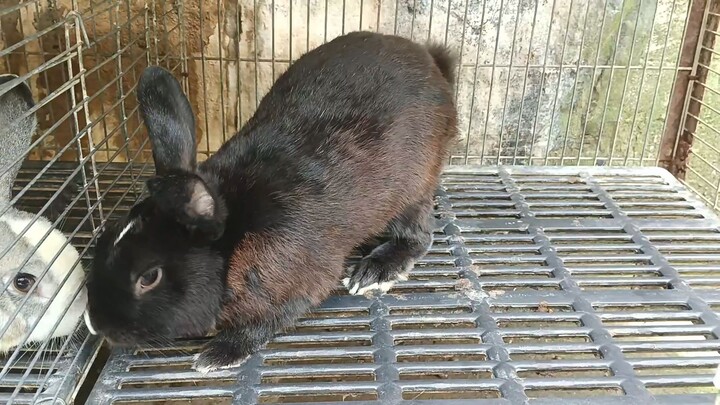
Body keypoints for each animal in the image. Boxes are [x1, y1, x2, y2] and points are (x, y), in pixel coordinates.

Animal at [84, 31, 458, 373]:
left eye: (150, 277)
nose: (95, 324)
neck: (233, 234)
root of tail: (431, 61)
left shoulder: (294, 286)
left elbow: (263, 323)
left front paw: (216, 356)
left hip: (412, 190)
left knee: (418, 235)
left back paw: (373, 272)